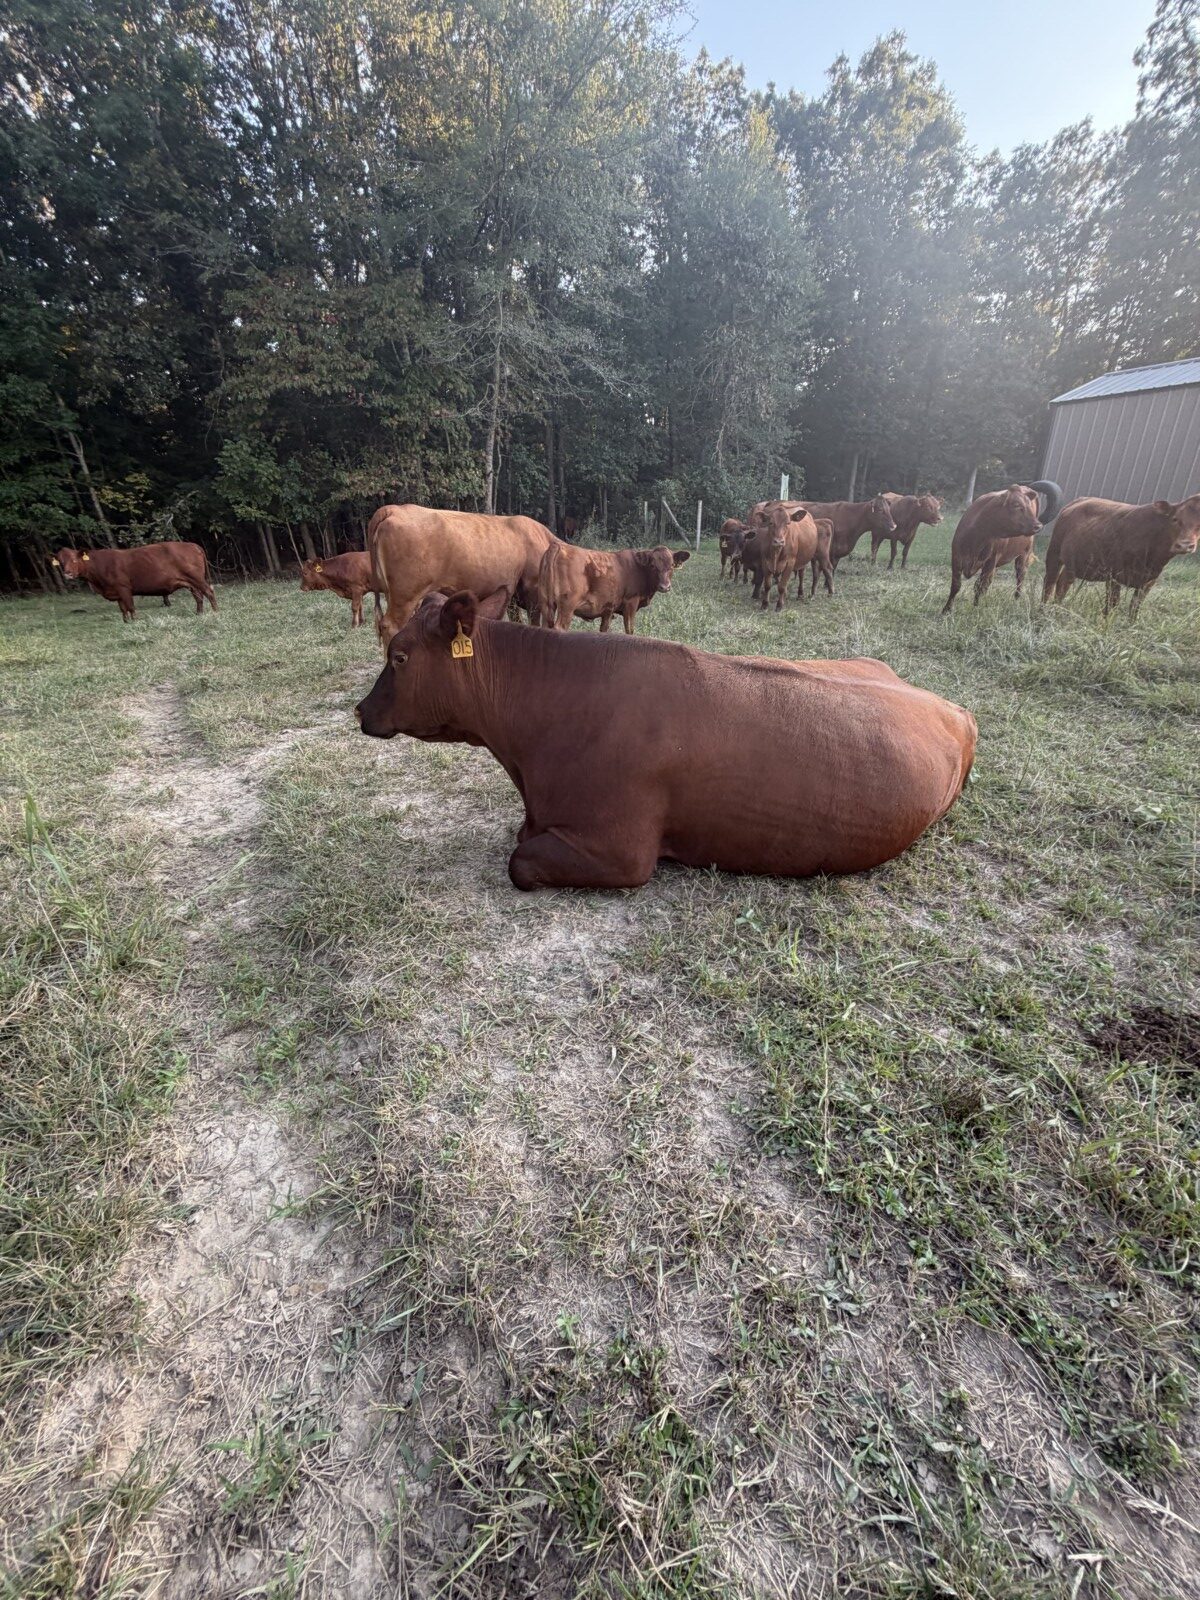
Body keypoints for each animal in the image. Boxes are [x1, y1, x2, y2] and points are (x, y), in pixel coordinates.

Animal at [52, 542, 216, 621]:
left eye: (74, 560)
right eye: (61, 562)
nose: (67, 573)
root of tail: (191, 544)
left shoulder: (124, 588)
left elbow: (130, 607)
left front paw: (135, 621)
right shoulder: (116, 592)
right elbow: (123, 609)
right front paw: (126, 622)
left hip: (197, 579)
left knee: (209, 592)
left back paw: (215, 612)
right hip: (191, 583)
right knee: (199, 597)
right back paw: (199, 613)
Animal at [538, 542, 690, 633]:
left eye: (671, 565)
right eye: (653, 565)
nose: (665, 587)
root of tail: (559, 545)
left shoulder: (608, 609)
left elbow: (604, 629)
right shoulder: (631, 603)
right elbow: (629, 630)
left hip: (547, 605)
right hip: (567, 607)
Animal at [942, 481, 1062, 614]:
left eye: (1028, 505)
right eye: (1016, 504)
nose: (1038, 526)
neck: (977, 536)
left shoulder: (991, 560)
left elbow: (980, 587)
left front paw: (975, 609)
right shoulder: (956, 556)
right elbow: (956, 585)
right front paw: (946, 610)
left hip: (1024, 555)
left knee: (1020, 578)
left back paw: (1016, 600)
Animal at [1042, 494, 1200, 616]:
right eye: (1175, 519)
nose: (1185, 545)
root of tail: (1079, 500)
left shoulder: (1149, 581)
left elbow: (1134, 607)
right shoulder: (1114, 576)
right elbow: (1112, 605)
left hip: (1075, 563)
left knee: (1063, 583)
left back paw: (1057, 607)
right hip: (1054, 553)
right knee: (1050, 582)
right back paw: (1043, 608)